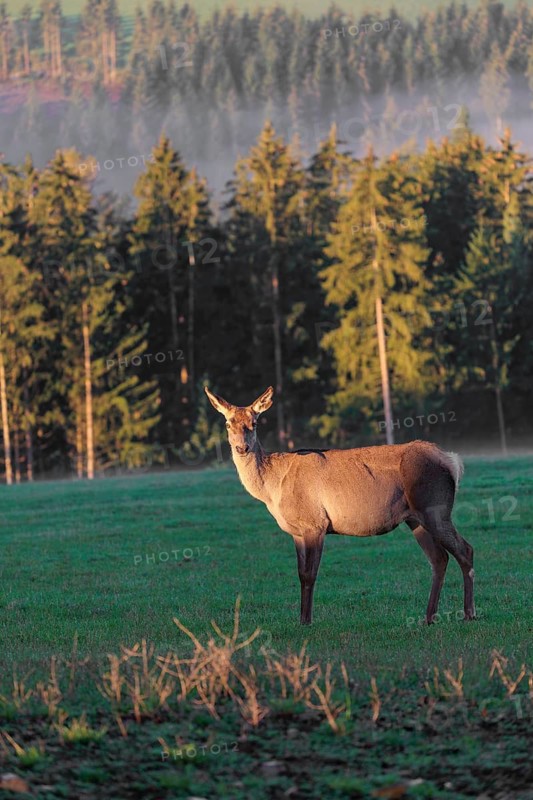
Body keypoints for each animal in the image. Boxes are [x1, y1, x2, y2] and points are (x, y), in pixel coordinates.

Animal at [205, 385, 476, 626]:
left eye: (255, 423)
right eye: (228, 423)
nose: (242, 447)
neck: (272, 489)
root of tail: (452, 462)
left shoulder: (315, 523)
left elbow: (310, 574)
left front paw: (306, 621)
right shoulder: (296, 531)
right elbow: (300, 573)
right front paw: (301, 619)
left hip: (436, 508)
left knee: (465, 550)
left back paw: (468, 614)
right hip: (415, 518)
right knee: (439, 558)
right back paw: (429, 618)